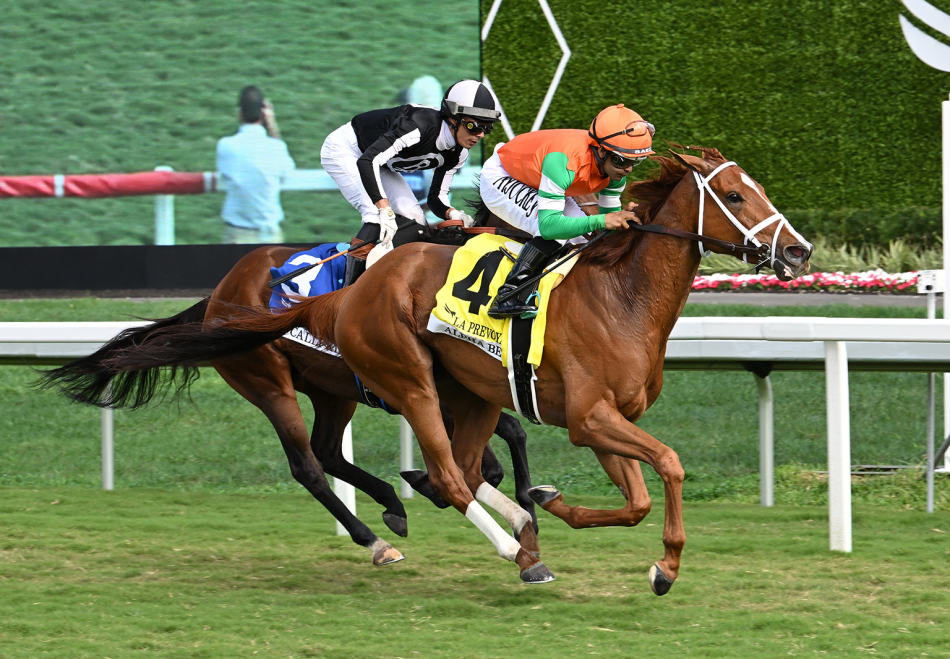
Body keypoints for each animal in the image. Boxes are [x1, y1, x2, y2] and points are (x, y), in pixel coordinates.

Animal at [37, 242, 536, 568]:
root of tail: (217, 294)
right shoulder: (423, 391)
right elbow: (475, 455)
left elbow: (503, 442)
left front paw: (527, 501)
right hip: (269, 383)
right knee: (307, 465)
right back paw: (375, 540)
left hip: (330, 391)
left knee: (328, 451)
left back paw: (391, 504)